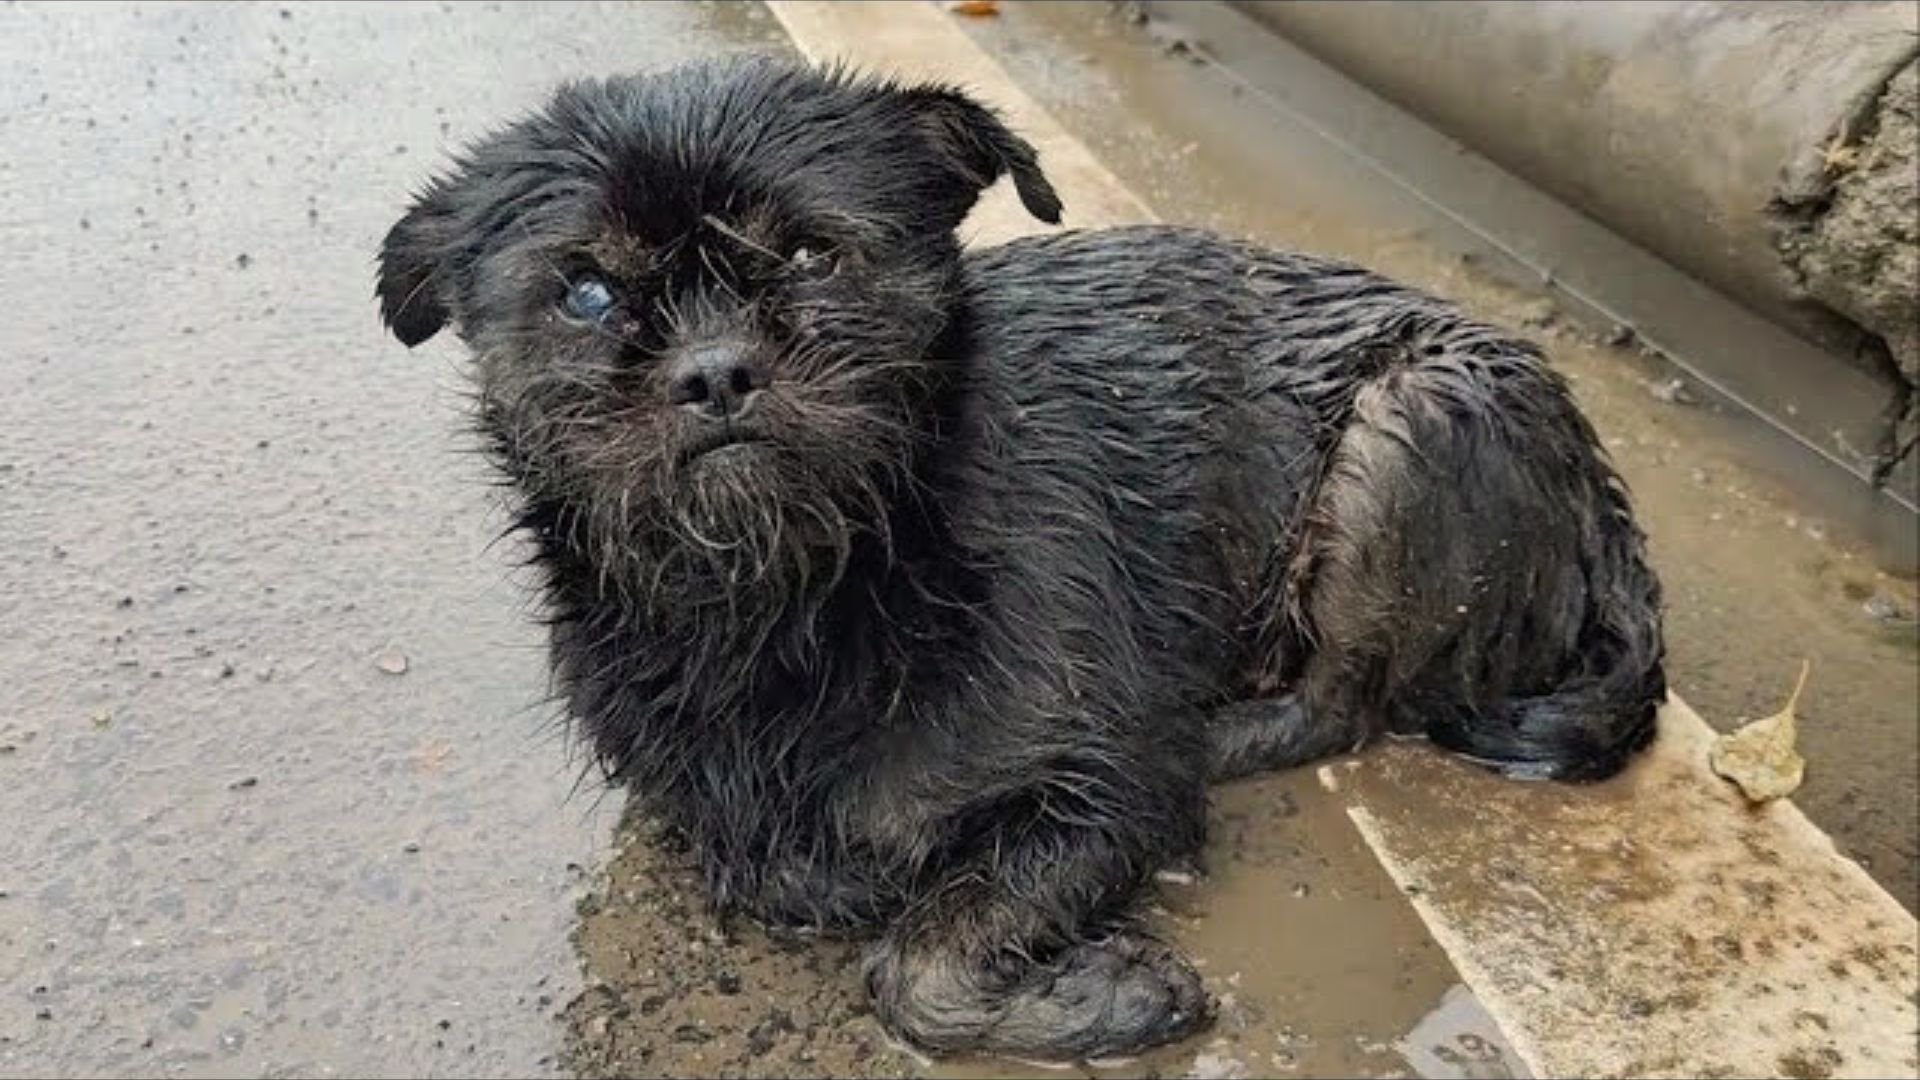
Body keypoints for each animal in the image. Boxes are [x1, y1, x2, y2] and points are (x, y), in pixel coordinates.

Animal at [374, 58, 1666, 1060]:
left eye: (811, 255)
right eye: (587, 293)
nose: (714, 369)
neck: (802, 596)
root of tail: (1601, 491)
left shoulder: (1100, 789)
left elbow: (918, 964)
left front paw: (1110, 996)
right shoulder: (705, 803)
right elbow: (781, 870)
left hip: (1416, 419)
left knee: (1342, 700)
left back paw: (1224, 730)